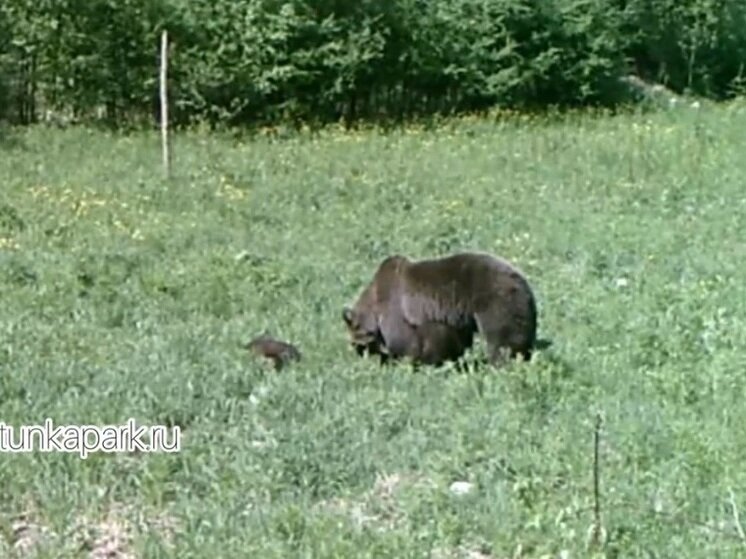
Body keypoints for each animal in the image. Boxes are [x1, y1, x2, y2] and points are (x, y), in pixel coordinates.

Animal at [340, 253, 536, 368]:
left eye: (359, 346)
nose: (362, 357)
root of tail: (520, 280)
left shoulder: (396, 311)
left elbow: (404, 342)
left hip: (494, 303)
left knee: (502, 342)